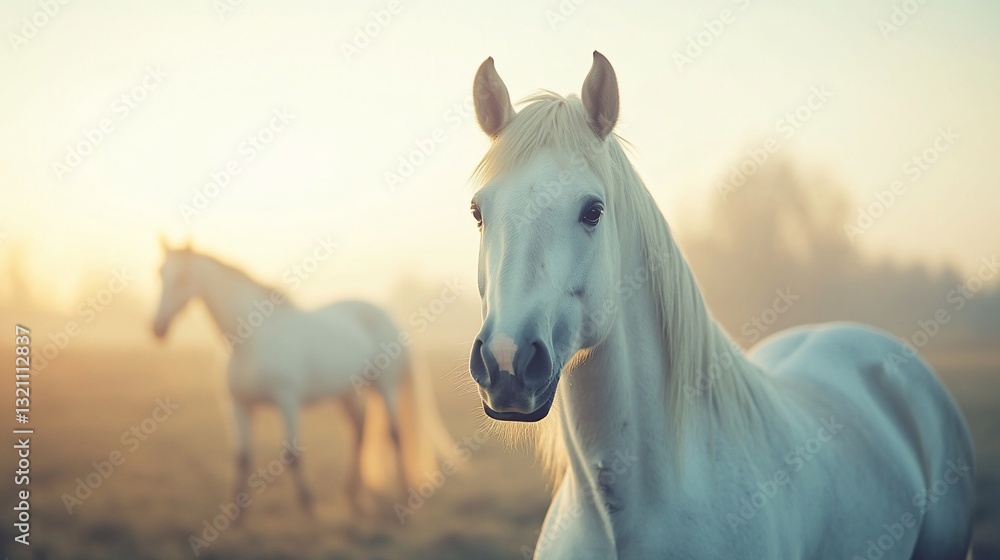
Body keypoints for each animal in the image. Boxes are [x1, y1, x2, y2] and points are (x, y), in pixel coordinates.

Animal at [152, 240, 453, 515]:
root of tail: (386, 315)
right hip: (348, 393)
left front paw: (308, 506)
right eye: (160, 272)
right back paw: (352, 499)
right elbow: (242, 457)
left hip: (385, 386)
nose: (157, 328)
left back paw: (403, 497)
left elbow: (292, 455)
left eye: (183, 277)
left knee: (395, 434)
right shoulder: (238, 405)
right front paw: (237, 514)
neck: (251, 340)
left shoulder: (287, 401)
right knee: (359, 433)